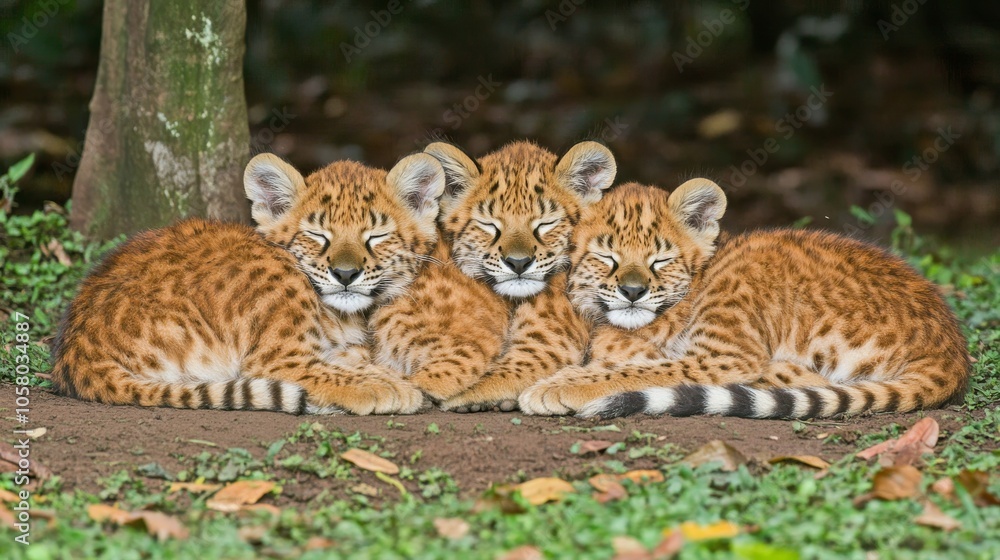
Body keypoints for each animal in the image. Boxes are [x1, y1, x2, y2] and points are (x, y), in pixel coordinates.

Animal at [51, 152, 447, 415]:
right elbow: (337, 369)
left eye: (376, 237)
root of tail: (76, 351)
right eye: (317, 236)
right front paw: (391, 386)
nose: (345, 275)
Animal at [519, 180, 970, 419]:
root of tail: (952, 348)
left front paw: (555, 386)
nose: (633, 292)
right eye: (607, 258)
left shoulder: (722, 357)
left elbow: (635, 370)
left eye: (661, 260)